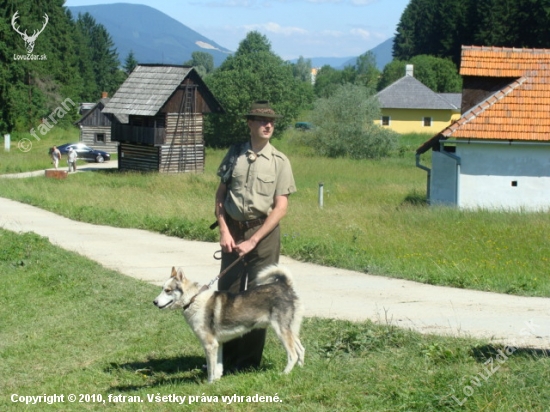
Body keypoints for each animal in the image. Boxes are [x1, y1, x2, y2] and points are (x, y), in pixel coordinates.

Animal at [153, 266, 306, 382]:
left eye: (168, 290)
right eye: (162, 288)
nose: (154, 302)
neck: (193, 299)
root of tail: (285, 286)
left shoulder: (209, 345)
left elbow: (211, 368)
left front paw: (209, 384)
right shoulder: (218, 344)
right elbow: (218, 367)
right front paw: (216, 380)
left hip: (281, 332)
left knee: (293, 355)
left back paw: (284, 374)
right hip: (291, 331)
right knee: (301, 349)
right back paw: (299, 369)